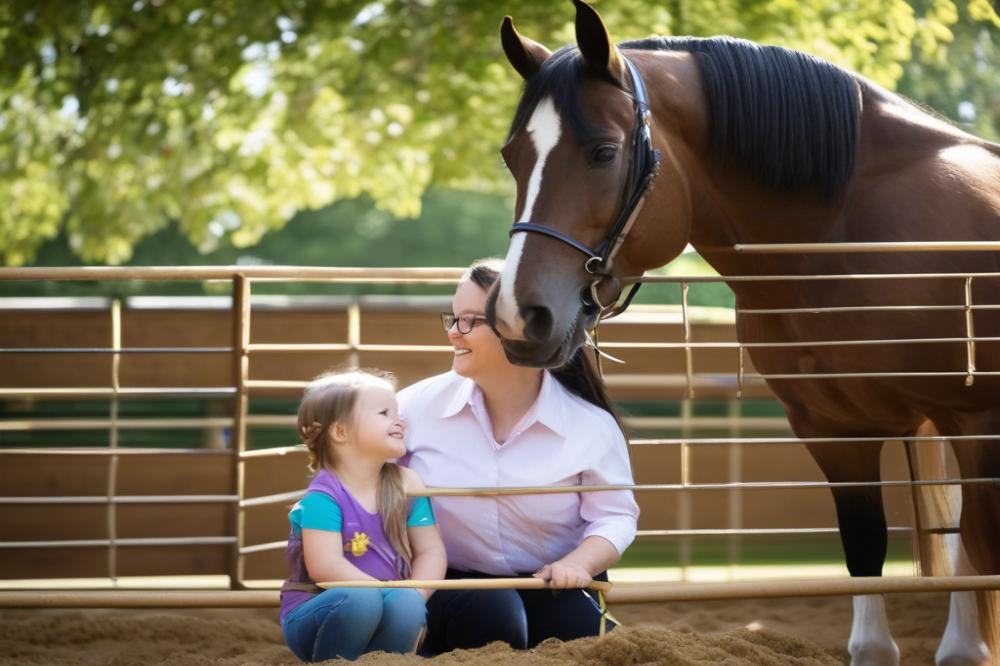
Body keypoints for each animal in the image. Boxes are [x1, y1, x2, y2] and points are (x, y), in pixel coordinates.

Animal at [488, 2, 1000, 660]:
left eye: (603, 152)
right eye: (513, 156)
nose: (518, 316)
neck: (845, 237)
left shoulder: (976, 425)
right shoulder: (836, 432)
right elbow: (868, 561)